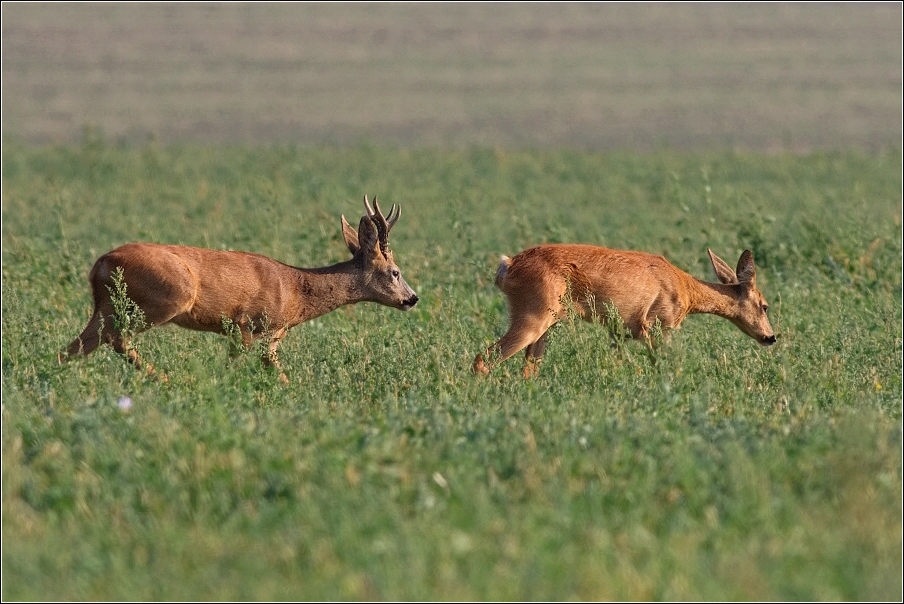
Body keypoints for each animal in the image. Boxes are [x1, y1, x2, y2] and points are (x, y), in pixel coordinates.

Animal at [60, 196, 420, 380]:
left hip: (105, 306)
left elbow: (277, 373)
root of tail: (100, 264)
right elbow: (234, 367)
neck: (294, 290)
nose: (412, 298)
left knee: (74, 347)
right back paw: (164, 379)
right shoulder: (245, 324)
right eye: (395, 272)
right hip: (162, 299)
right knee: (117, 339)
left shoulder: (272, 336)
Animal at [474, 243, 776, 376]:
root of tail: (506, 267)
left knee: (529, 368)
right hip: (534, 314)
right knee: (482, 359)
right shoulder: (657, 325)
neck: (686, 291)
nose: (771, 337)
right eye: (765, 305)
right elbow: (660, 365)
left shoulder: (620, 331)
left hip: (546, 323)